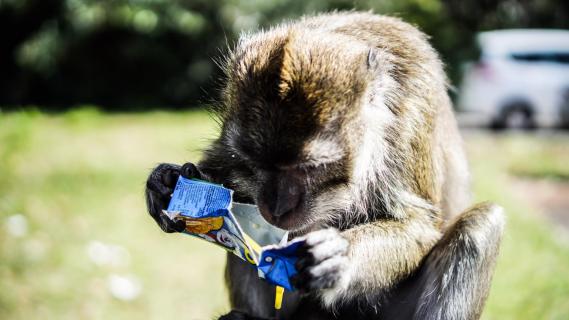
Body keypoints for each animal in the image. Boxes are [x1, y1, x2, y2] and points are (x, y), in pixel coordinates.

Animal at [144, 11, 504, 320]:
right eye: (253, 162)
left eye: (310, 168)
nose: (277, 207)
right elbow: (224, 177)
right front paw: (168, 184)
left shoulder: (410, 115)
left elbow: (419, 225)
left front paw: (341, 257)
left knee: (479, 227)